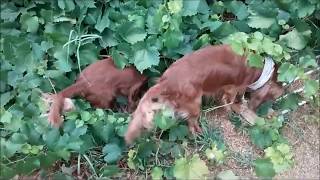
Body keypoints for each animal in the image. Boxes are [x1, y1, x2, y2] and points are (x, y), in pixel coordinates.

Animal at [124, 44, 282, 143]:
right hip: (195, 105)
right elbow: (230, 101)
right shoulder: (234, 87)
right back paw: (199, 133)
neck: (257, 68)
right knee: (191, 125)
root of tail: (166, 82)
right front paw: (233, 109)